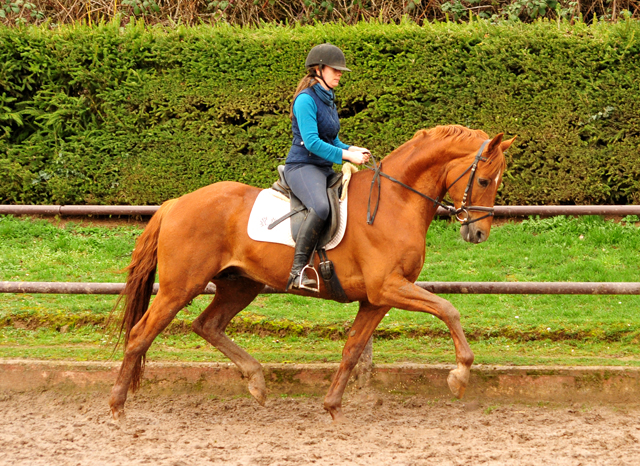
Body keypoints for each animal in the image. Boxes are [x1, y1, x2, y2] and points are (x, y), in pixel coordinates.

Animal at [107, 124, 512, 422]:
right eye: (483, 181)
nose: (478, 234)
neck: (395, 203)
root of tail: (176, 203)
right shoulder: (389, 287)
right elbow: (448, 309)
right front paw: (459, 377)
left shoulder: (378, 299)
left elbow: (353, 349)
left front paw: (332, 407)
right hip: (180, 286)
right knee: (141, 335)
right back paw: (118, 408)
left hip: (240, 285)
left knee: (208, 325)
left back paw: (257, 381)